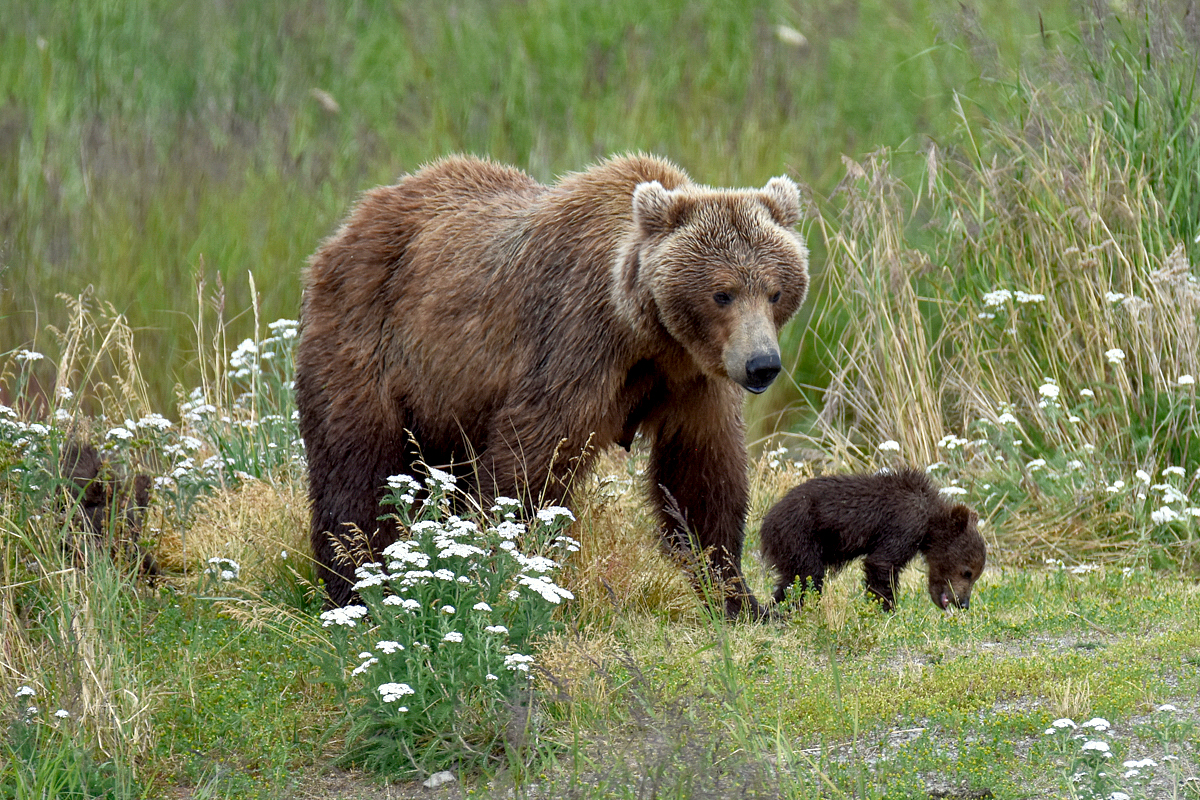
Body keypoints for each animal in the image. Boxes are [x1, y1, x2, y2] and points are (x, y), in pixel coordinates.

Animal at [295, 155, 811, 618]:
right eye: (722, 293)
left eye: (775, 291)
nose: (762, 365)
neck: (649, 336)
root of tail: (354, 220)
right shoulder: (578, 342)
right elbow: (532, 460)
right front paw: (504, 569)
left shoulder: (695, 382)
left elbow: (700, 478)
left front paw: (741, 598)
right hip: (370, 341)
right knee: (357, 471)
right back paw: (357, 587)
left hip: (445, 400)